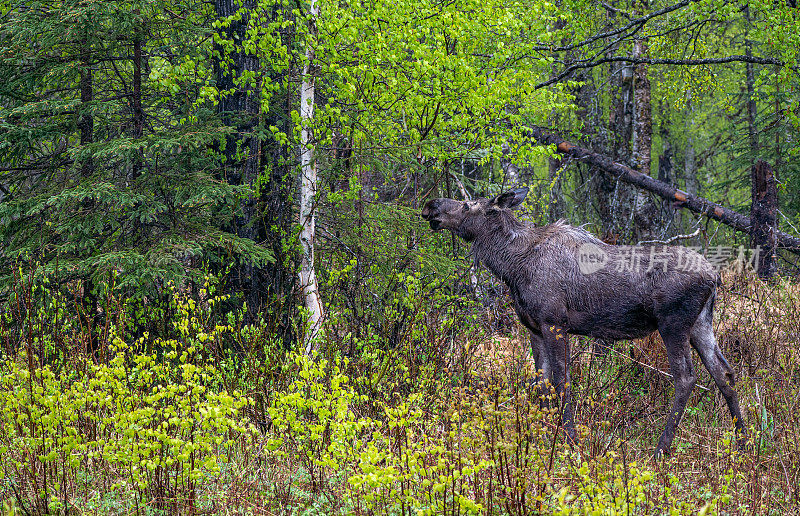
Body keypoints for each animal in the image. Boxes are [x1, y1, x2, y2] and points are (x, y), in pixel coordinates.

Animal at [422, 188, 748, 456]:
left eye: (467, 205)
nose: (430, 205)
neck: (513, 267)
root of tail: (714, 276)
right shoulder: (534, 329)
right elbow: (541, 382)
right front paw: (540, 437)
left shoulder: (555, 322)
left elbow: (561, 381)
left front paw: (570, 440)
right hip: (701, 324)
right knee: (725, 373)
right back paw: (744, 443)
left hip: (674, 324)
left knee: (686, 377)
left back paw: (661, 449)